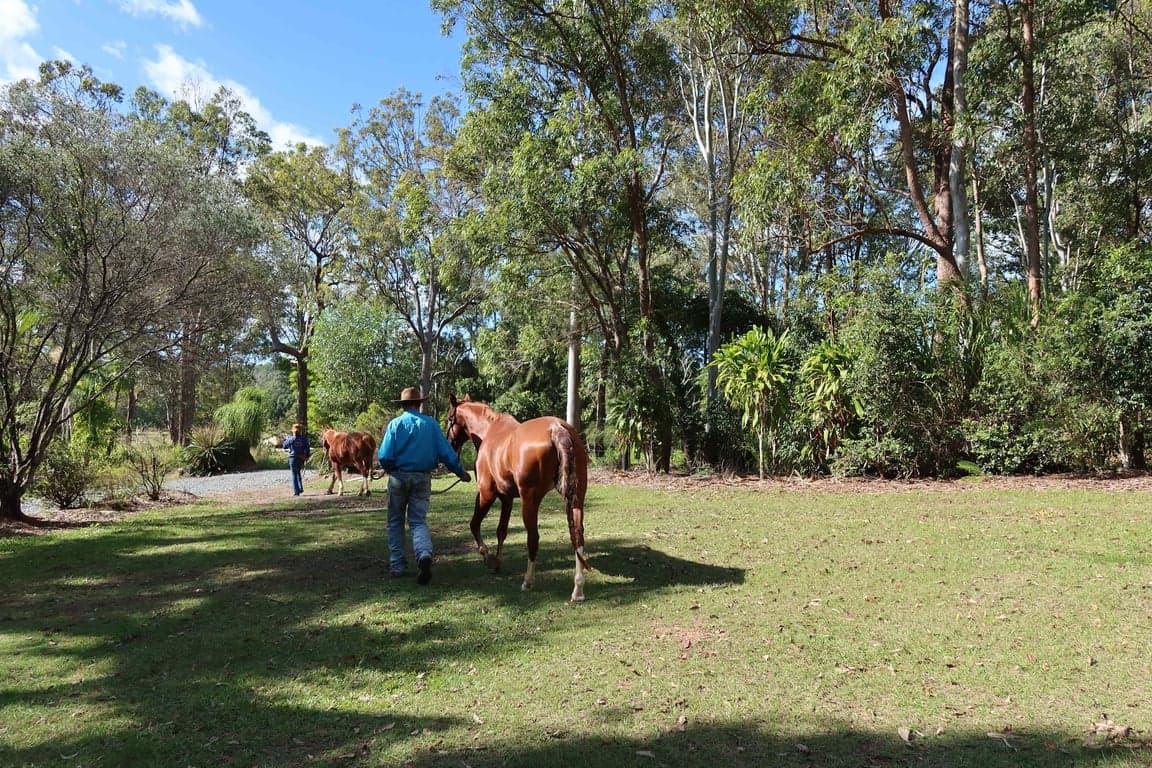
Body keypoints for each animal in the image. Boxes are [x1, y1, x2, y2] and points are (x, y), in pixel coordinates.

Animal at [445, 394, 591, 602]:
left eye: (449, 418)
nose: (449, 443)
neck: (490, 431)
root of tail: (557, 428)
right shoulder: (506, 498)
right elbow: (501, 531)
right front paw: (497, 562)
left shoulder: (486, 493)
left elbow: (474, 524)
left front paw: (487, 556)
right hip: (577, 498)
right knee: (578, 536)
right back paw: (578, 589)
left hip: (529, 500)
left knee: (533, 538)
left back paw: (527, 581)